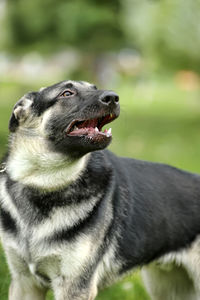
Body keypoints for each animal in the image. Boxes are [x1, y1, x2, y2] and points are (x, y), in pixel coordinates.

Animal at [0, 80, 200, 300]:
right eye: (66, 93)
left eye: (94, 88)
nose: (113, 97)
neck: (43, 183)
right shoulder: (24, 283)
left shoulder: (74, 287)